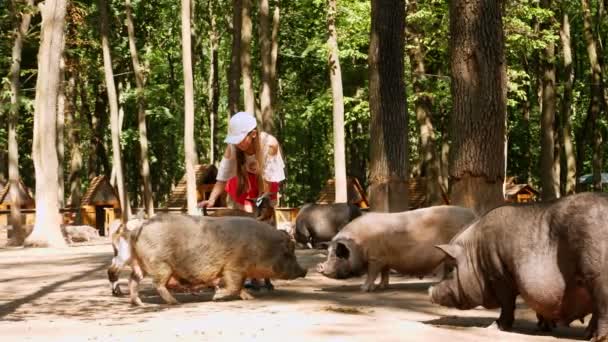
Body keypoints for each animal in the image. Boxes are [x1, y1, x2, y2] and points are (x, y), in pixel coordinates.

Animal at [107, 215, 306, 306]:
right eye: (289, 253)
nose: (304, 271)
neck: (262, 246)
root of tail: (136, 230)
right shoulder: (234, 267)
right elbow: (234, 285)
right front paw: (216, 298)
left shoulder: (235, 270)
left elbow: (239, 286)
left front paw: (250, 297)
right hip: (160, 265)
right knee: (157, 284)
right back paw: (175, 302)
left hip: (140, 265)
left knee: (133, 280)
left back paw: (139, 303)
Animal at [316, 204, 478, 292]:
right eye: (328, 253)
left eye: (338, 254)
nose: (319, 267)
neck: (358, 243)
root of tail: (474, 215)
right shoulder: (384, 259)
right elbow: (384, 273)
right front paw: (383, 287)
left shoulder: (375, 258)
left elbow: (372, 273)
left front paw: (364, 289)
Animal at [428, 194, 608, 340]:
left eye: (450, 269)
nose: (430, 292)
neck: (475, 254)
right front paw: (544, 327)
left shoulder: (499, 274)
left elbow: (507, 303)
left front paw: (496, 326)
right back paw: (587, 335)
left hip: (597, 273)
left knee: (602, 305)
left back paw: (598, 338)